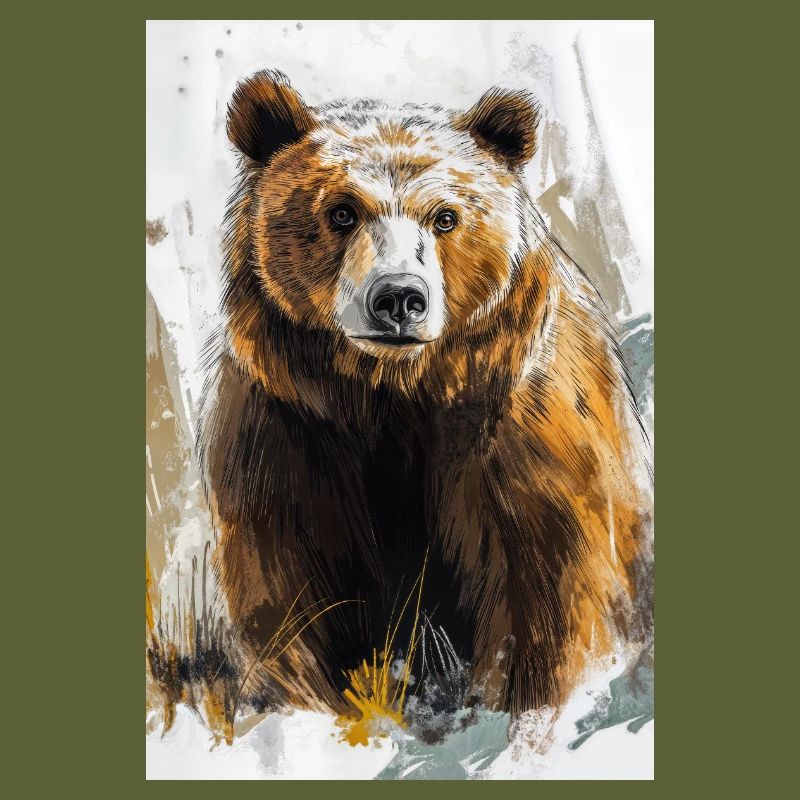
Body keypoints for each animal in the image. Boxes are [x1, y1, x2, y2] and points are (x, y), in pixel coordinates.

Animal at [198, 69, 653, 720]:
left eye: (445, 217)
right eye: (342, 211)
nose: (398, 298)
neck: (394, 394)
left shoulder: (532, 432)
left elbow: (568, 603)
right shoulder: (285, 437)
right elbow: (289, 605)